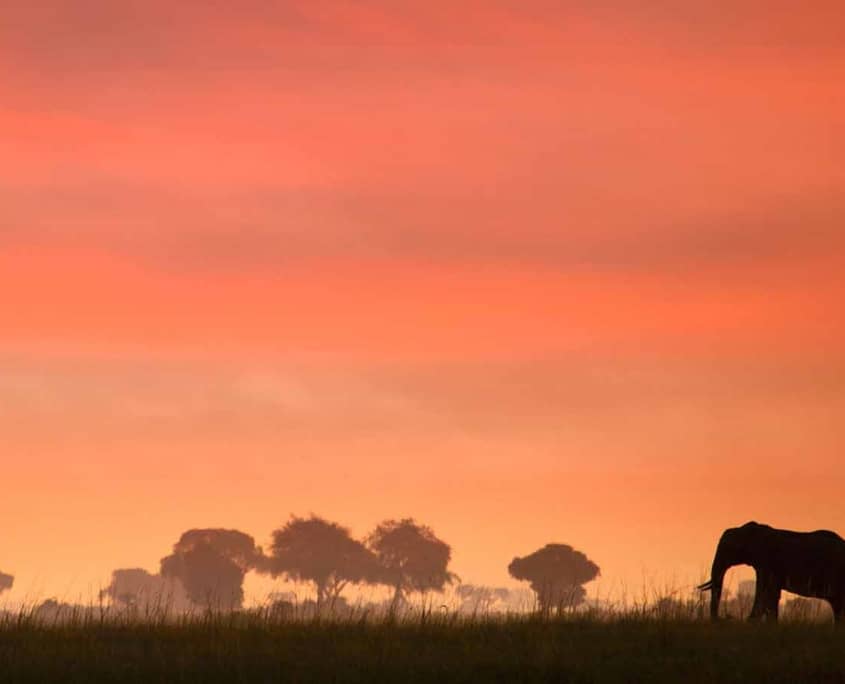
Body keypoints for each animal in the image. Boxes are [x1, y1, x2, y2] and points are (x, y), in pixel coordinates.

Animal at [696, 520, 844, 624]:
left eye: (728, 548)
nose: (722, 618)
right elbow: (771, 593)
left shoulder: (767, 562)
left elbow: (764, 590)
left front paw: (751, 622)